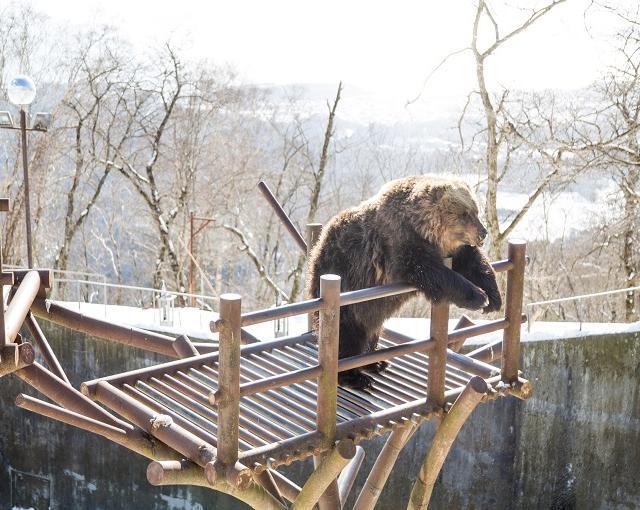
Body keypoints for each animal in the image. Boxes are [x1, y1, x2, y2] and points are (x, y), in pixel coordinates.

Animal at [308, 173, 502, 388]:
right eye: (465, 214)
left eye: (475, 210)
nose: (483, 232)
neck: (423, 228)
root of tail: (316, 250)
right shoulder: (400, 243)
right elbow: (432, 272)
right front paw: (478, 296)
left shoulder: (452, 249)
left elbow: (473, 262)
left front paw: (493, 298)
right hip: (343, 284)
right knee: (346, 333)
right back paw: (355, 376)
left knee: (373, 328)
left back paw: (376, 362)